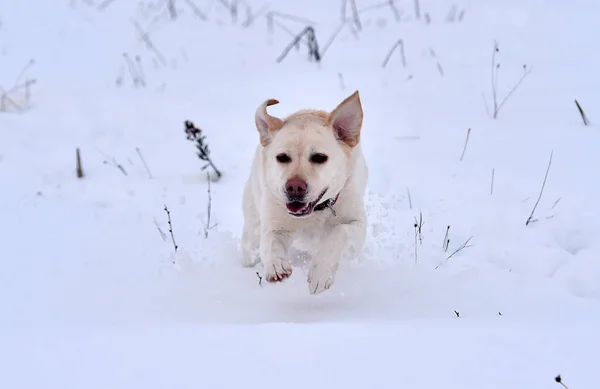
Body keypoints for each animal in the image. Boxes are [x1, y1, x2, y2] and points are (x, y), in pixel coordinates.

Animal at [241, 91, 368, 294]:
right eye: (282, 157)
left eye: (319, 157)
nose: (294, 187)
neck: (314, 213)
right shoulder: (273, 224)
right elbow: (269, 242)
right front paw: (276, 266)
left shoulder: (357, 224)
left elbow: (339, 232)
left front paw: (320, 272)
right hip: (252, 224)